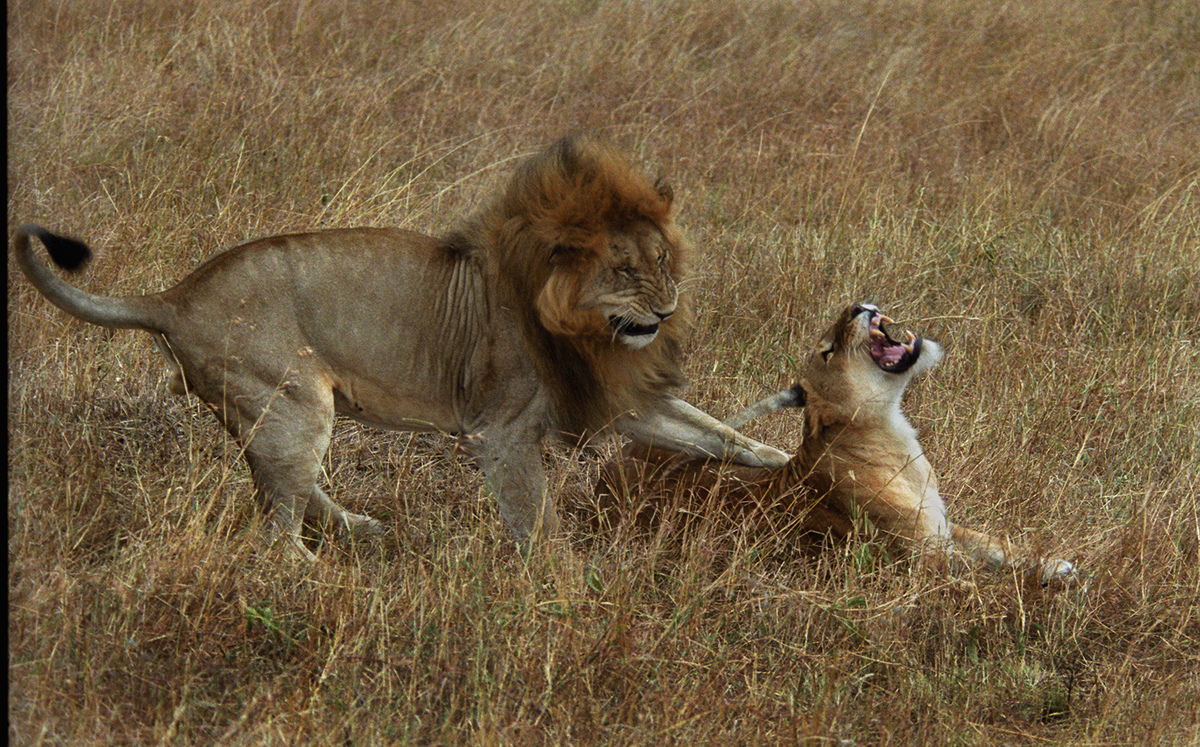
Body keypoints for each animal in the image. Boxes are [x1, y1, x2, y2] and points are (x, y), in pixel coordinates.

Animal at [12, 134, 789, 561]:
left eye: (663, 261)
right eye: (624, 271)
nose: (668, 308)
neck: (583, 329)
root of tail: (174, 296)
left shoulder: (617, 397)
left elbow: (715, 432)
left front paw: (788, 462)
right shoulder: (502, 429)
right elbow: (535, 515)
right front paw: (565, 585)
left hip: (275, 412)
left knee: (287, 489)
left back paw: (361, 528)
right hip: (293, 400)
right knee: (275, 539)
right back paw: (318, 585)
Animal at [595, 302, 1076, 584]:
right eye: (828, 351)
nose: (859, 305)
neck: (892, 432)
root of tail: (608, 469)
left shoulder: (943, 527)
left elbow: (995, 544)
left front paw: (1055, 564)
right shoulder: (926, 564)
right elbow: (988, 584)